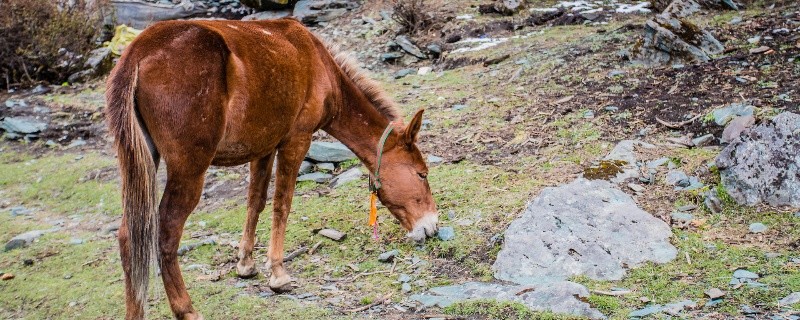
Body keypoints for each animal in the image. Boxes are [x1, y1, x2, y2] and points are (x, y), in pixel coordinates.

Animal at [105, 18, 438, 320]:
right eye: (421, 174)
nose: (432, 226)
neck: (319, 63)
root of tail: (138, 53)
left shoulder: (263, 149)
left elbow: (256, 202)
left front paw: (245, 264)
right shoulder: (296, 141)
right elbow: (282, 204)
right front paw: (278, 273)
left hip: (142, 164)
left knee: (129, 236)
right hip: (189, 170)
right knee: (166, 233)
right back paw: (186, 309)